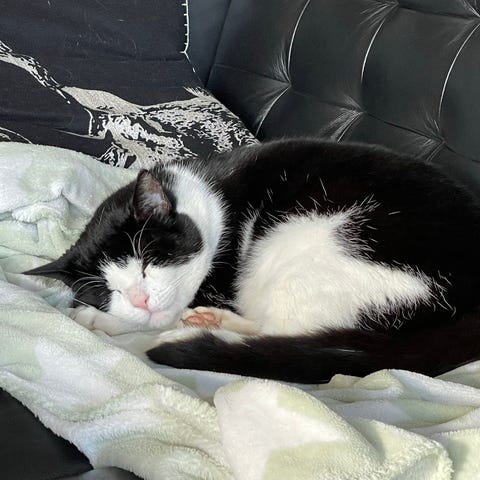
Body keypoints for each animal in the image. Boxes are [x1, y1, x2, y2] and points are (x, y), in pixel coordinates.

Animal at [26, 138, 480, 383]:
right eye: (107, 291)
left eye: (147, 261)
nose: (138, 299)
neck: (210, 200)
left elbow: (162, 316)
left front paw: (101, 321)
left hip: (314, 244)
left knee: (287, 333)